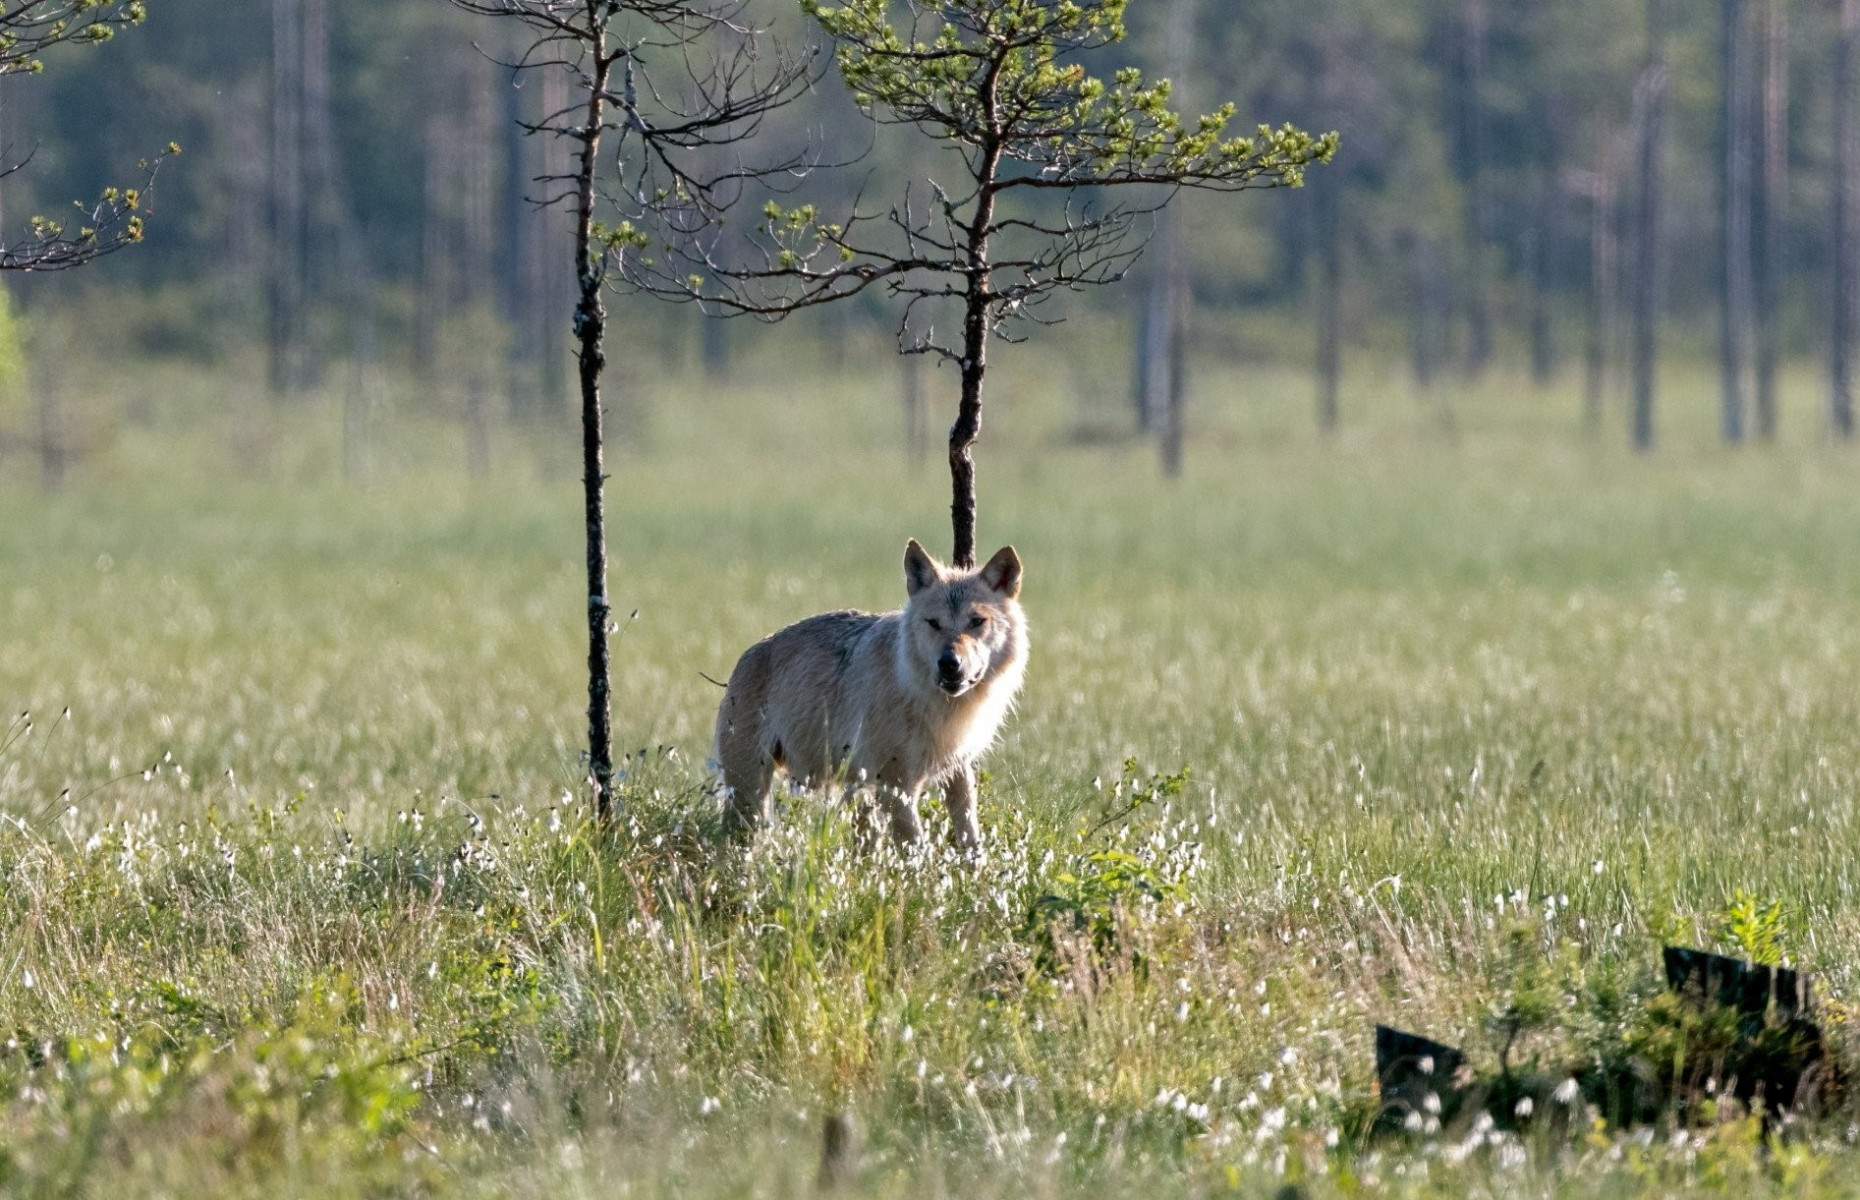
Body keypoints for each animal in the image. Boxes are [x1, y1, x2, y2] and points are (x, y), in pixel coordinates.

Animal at [714, 539, 1034, 848]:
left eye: (977, 621)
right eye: (933, 623)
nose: (949, 663)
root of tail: (747, 655)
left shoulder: (958, 770)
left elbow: (971, 842)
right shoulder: (896, 788)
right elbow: (917, 851)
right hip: (751, 795)